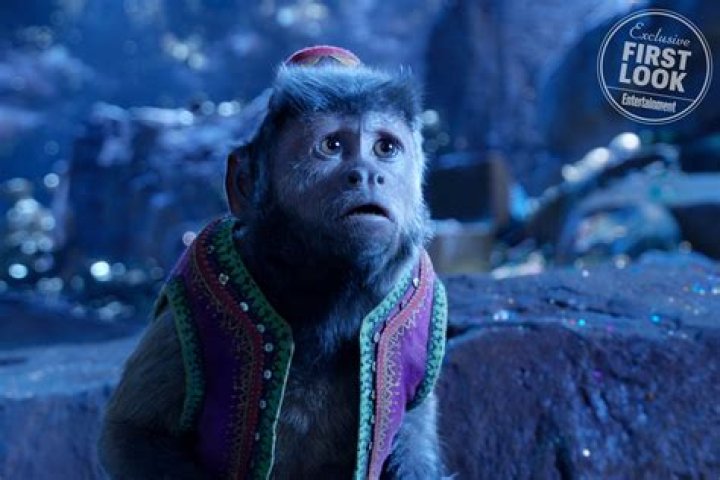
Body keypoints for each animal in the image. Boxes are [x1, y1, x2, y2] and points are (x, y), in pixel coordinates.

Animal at [99, 45, 448, 480]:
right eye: (333, 145)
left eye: (385, 149)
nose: (367, 174)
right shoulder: (190, 296)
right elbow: (130, 434)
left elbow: (413, 426)